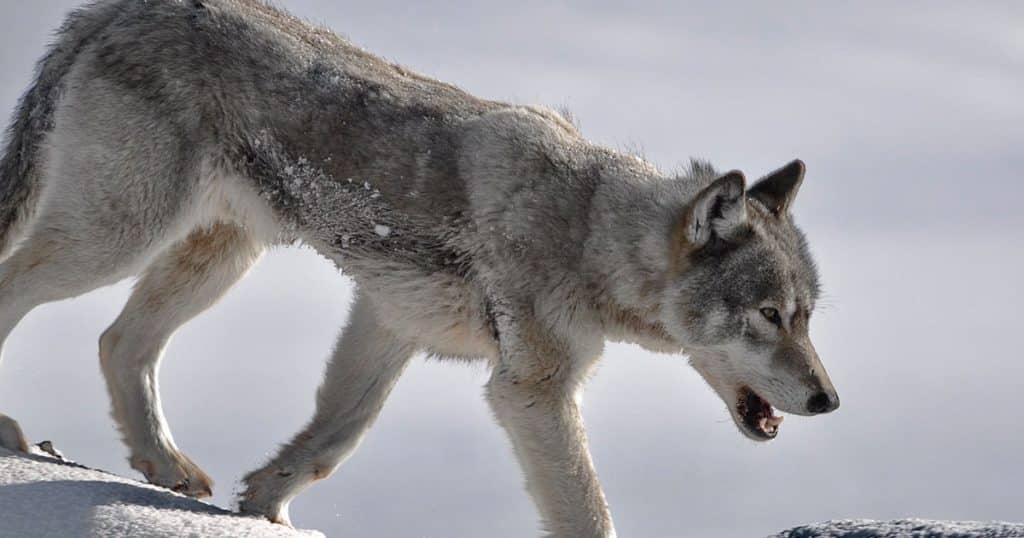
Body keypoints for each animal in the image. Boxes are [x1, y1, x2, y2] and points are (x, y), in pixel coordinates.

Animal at [0, 0, 839, 536]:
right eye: (769, 316)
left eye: (805, 318)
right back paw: (14, 433)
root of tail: (121, 6)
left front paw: (262, 511)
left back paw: (165, 465)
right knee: (22, 288)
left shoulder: (388, 322)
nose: (829, 400)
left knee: (119, 342)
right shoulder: (530, 392)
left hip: (215, 258)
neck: (588, 226)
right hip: (117, 237)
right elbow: (587, 513)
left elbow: (331, 441)